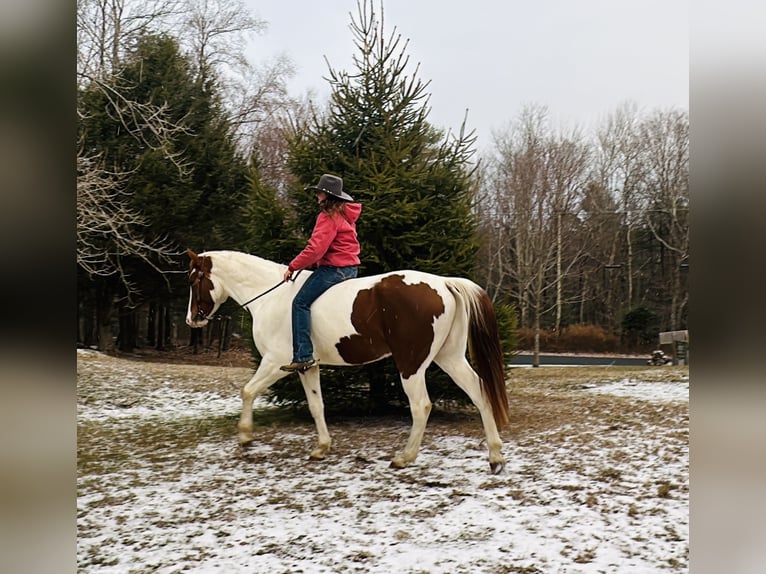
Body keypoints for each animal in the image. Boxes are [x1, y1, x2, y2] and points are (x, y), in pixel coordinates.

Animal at [184, 250, 510, 474]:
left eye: (195, 279)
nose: (191, 320)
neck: (270, 298)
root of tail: (443, 283)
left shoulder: (275, 363)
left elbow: (248, 391)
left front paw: (245, 437)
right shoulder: (308, 366)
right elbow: (316, 406)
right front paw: (320, 448)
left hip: (411, 365)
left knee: (421, 406)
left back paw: (404, 458)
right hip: (449, 357)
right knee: (479, 392)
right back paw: (494, 456)